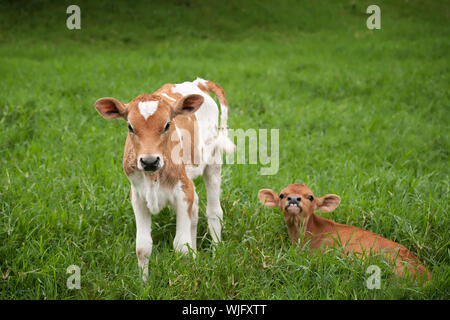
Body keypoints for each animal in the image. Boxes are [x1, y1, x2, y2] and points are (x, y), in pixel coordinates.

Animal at [95, 79, 236, 282]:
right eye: (130, 126)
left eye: (167, 124)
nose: (149, 161)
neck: (152, 177)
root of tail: (198, 83)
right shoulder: (137, 196)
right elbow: (142, 247)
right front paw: (144, 284)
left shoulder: (183, 191)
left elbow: (181, 247)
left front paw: (184, 280)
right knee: (195, 211)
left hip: (213, 162)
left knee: (214, 212)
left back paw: (216, 255)